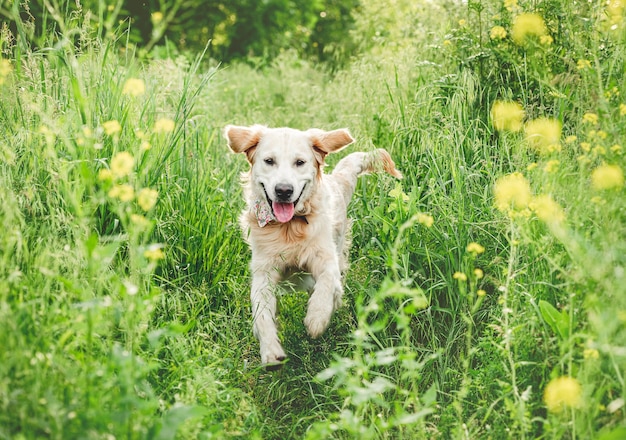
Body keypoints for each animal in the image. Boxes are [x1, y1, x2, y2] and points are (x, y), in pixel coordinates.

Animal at [224, 125, 400, 370]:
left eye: (300, 162)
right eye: (269, 161)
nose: (284, 190)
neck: (289, 228)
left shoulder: (326, 258)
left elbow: (325, 285)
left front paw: (316, 318)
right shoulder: (263, 272)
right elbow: (261, 314)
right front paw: (270, 352)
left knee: (334, 288)